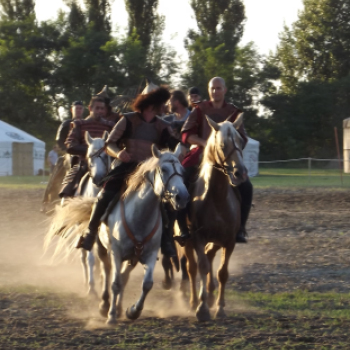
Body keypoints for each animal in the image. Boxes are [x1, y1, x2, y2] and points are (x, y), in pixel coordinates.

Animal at [46, 144, 190, 324]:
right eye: (163, 169)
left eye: (182, 170)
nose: (182, 197)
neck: (140, 216)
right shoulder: (116, 253)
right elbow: (115, 282)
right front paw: (111, 315)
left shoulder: (149, 255)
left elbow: (146, 284)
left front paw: (133, 311)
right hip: (103, 248)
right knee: (106, 270)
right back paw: (104, 304)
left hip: (132, 256)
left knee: (124, 276)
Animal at [182, 113, 247, 322]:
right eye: (222, 145)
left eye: (241, 142)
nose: (240, 173)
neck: (217, 198)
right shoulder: (198, 238)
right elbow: (202, 267)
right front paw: (201, 309)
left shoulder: (229, 241)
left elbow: (222, 273)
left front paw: (219, 308)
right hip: (185, 242)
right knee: (192, 267)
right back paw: (194, 301)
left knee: (210, 256)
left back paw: (209, 296)